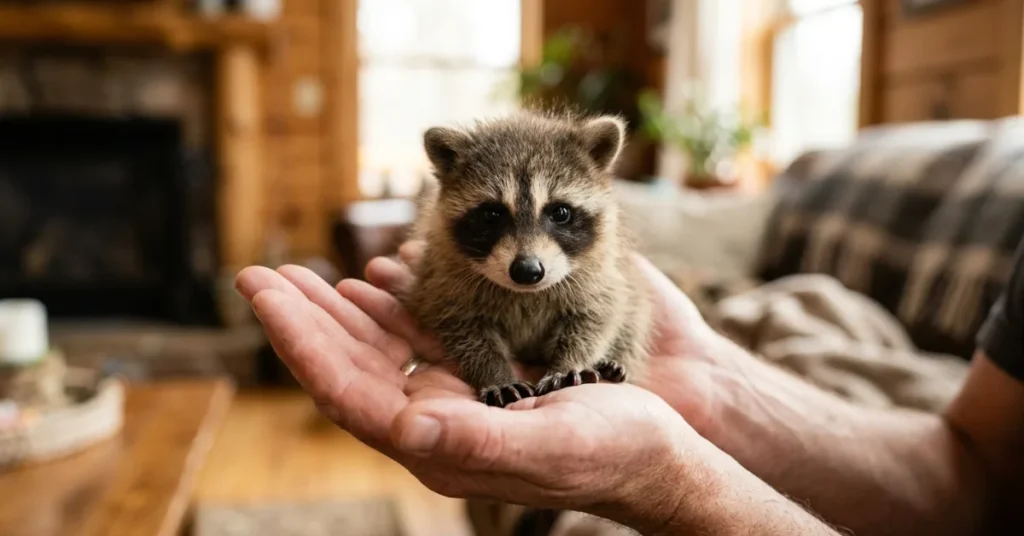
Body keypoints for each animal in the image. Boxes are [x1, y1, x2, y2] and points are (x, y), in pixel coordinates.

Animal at [402, 111, 653, 407]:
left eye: (560, 212)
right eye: (492, 214)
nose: (527, 270)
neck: (526, 292)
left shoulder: (601, 276)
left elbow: (596, 318)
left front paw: (568, 363)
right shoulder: (444, 280)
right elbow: (465, 331)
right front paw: (495, 374)